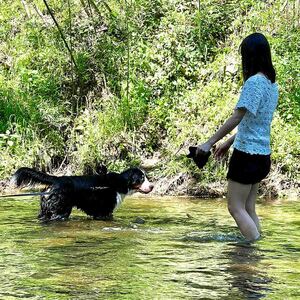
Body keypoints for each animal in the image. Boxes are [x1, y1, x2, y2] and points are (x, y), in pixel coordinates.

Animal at [11, 168, 154, 221]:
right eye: (141, 179)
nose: (152, 186)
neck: (118, 183)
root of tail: (57, 179)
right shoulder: (104, 212)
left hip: (45, 209)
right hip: (60, 210)